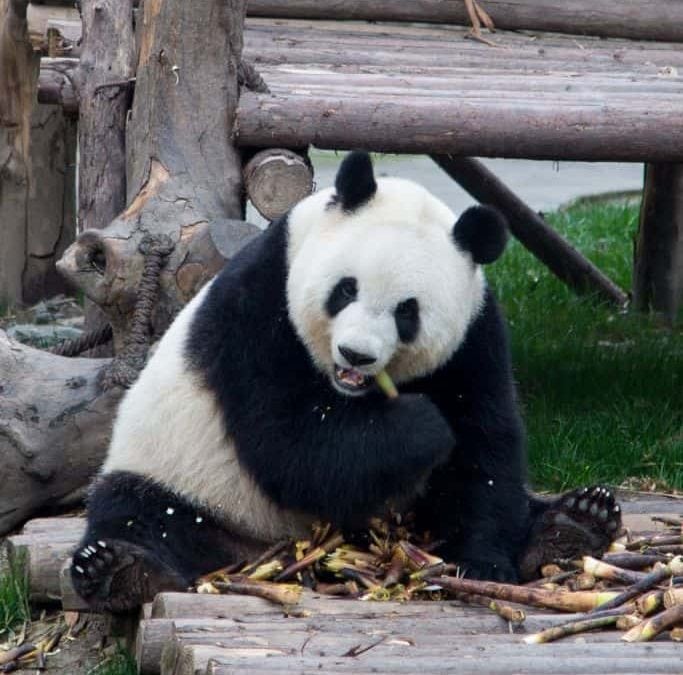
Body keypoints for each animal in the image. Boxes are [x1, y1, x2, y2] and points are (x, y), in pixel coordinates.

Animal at [72, 152, 624, 612]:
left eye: (407, 312)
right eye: (345, 289)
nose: (356, 355)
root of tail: (275, 552)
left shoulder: (475, 335)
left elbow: (485, 447)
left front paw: (484, 563)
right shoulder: (258, 309)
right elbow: (290, 444)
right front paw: (422, 423)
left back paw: (576, 522)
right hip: (188, 477)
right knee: (140, 511)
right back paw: (121, 570)